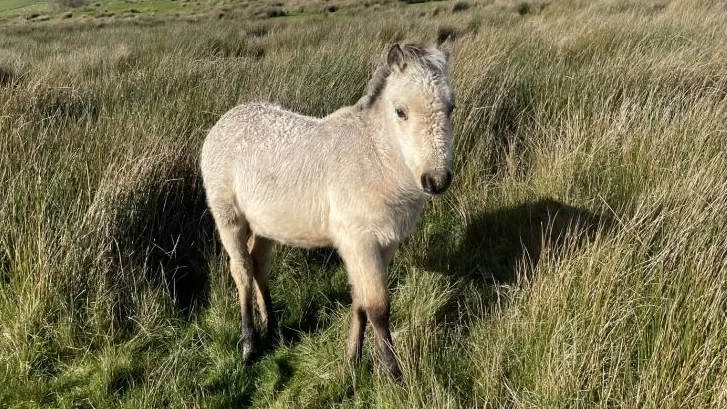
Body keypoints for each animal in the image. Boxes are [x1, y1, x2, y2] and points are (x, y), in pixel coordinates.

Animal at [200, 41, 456, 376]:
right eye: (401, 111)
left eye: (451, 108)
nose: (436, 180)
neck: (374, 158)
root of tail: (225, 120)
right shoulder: (359, 241)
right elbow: (378, 306)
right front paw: (391, 370)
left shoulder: (384, 243)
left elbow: (360, 300)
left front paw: (352, 359)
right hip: (228, 216)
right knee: (241, 269)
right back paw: (250, 344)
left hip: (266, 224)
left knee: (259, 264)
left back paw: (273, 328)